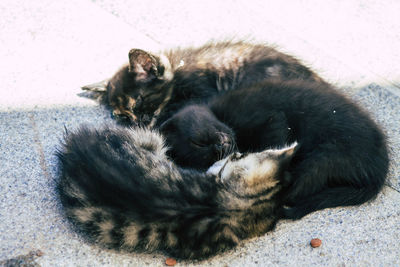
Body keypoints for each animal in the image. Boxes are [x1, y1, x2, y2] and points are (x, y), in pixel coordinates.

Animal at [160, 79, 390, 220]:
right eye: (203, 152)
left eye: (198, 143)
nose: (218, 145)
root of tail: (380, 172)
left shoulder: (274, 119)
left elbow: (275, 137)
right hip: (324, 160)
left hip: (326, 155)